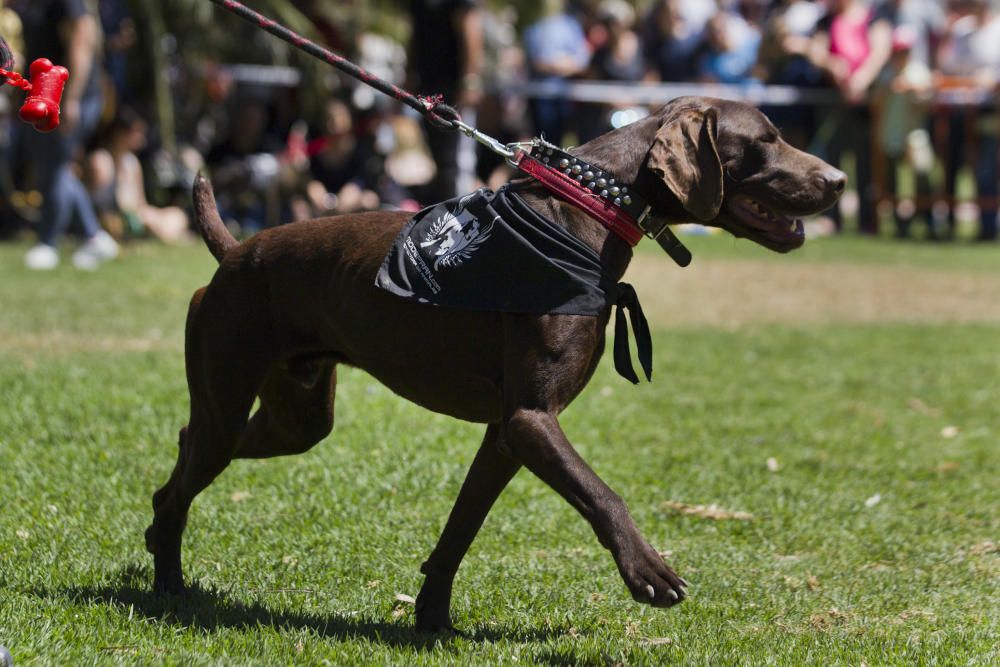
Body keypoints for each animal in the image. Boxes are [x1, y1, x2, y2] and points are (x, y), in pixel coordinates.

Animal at [146, 96, 844, 636]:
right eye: (766, 140)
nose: (838, 180)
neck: (585, 215)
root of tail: (234, 253)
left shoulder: (507, 434)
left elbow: (460, 530)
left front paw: (432, 618)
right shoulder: (532, 420)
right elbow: (603, 494)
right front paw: (647, 570)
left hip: (295, 417)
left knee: (184, 450)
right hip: (232, 399)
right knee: (180, 481)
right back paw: (167, 580)